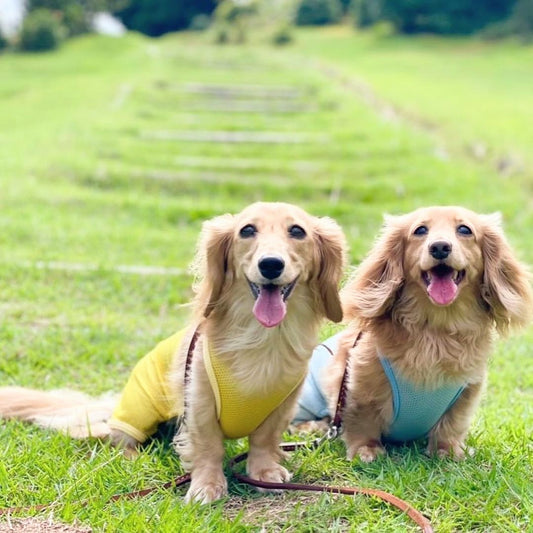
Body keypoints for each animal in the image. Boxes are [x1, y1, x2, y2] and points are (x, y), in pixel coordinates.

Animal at [0, 201, 344, 502]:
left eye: (297, 231)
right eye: (247, 230)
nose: (271, 264)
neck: (260, 339)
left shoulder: (282, 406)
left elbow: (264, 440)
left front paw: (264, 473)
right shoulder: (200, 400)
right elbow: (208, 447)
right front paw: (207, 487)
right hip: (138, 411)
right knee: (119, 439)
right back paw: (134, 456)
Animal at [294, 207, 528, 462]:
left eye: (465, 230)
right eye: (420, 230)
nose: (440, 247)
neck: (436, 330)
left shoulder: (467, 390)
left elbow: (452, 425)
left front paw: (448, 451)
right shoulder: (356, 384)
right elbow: (362, 421)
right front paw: (366, 450)